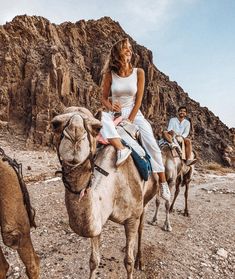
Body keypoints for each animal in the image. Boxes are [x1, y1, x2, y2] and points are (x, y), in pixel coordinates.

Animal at [51, 106, 171, 279]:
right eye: (55, 124)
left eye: (97, 128)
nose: (75, 133)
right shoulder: (97, 216)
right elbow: (94, 260)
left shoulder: (132, 217)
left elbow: (128, 262)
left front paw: (133, 261)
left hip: (145, 200)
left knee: (141, 227)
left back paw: (140, 260)